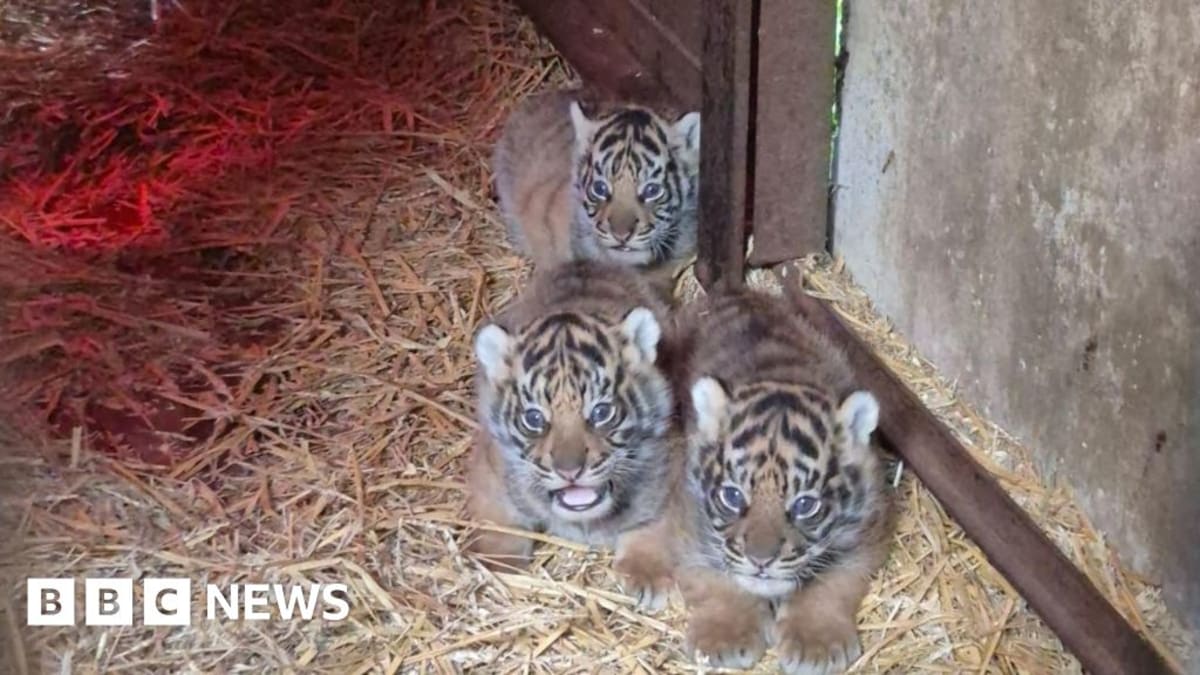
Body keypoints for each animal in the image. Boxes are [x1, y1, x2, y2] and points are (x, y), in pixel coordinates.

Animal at [464, 260, 694, 611]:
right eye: (534, 418)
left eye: (601, 412)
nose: (569, 471)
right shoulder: (491, 469)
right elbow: (497, 519)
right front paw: (496, 566)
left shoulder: (672, 469)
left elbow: (655, 524)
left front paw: (648, 576)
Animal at [669, 289, 894, 675]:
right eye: (732, 496)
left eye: (805, 505)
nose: (761, 560)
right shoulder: (690, 521)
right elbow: (714, 577)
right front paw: (725, 637)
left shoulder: (868, 528)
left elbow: (832, 583)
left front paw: (815, 645)